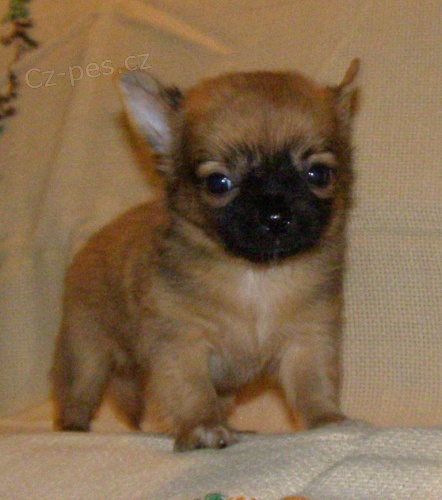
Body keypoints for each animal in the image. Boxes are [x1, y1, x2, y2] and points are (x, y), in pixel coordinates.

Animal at [52, 59, 360, 451]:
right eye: (218, 183)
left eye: (319, 174)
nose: (275, 214)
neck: (256, 277)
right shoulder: (181, 344)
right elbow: (191, 391)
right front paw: (202, 427)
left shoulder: (307, 340)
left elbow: (313, 386)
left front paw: (327, 420)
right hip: (87, 352)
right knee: (79, 394)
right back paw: (72, 429)